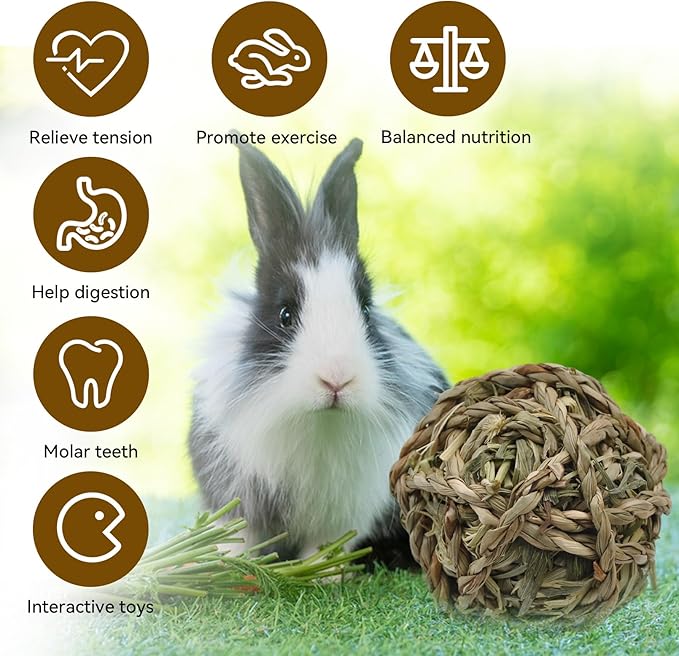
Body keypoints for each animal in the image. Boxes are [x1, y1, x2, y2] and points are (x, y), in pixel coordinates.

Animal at [189, 138, 449, 567]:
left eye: (365, 309)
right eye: (284, 315)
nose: (337, 379)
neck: (318, 419)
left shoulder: (344, 511)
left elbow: (325, 548)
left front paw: (324, 574)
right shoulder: (237, 494)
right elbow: (238, 537)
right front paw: (231, 567)